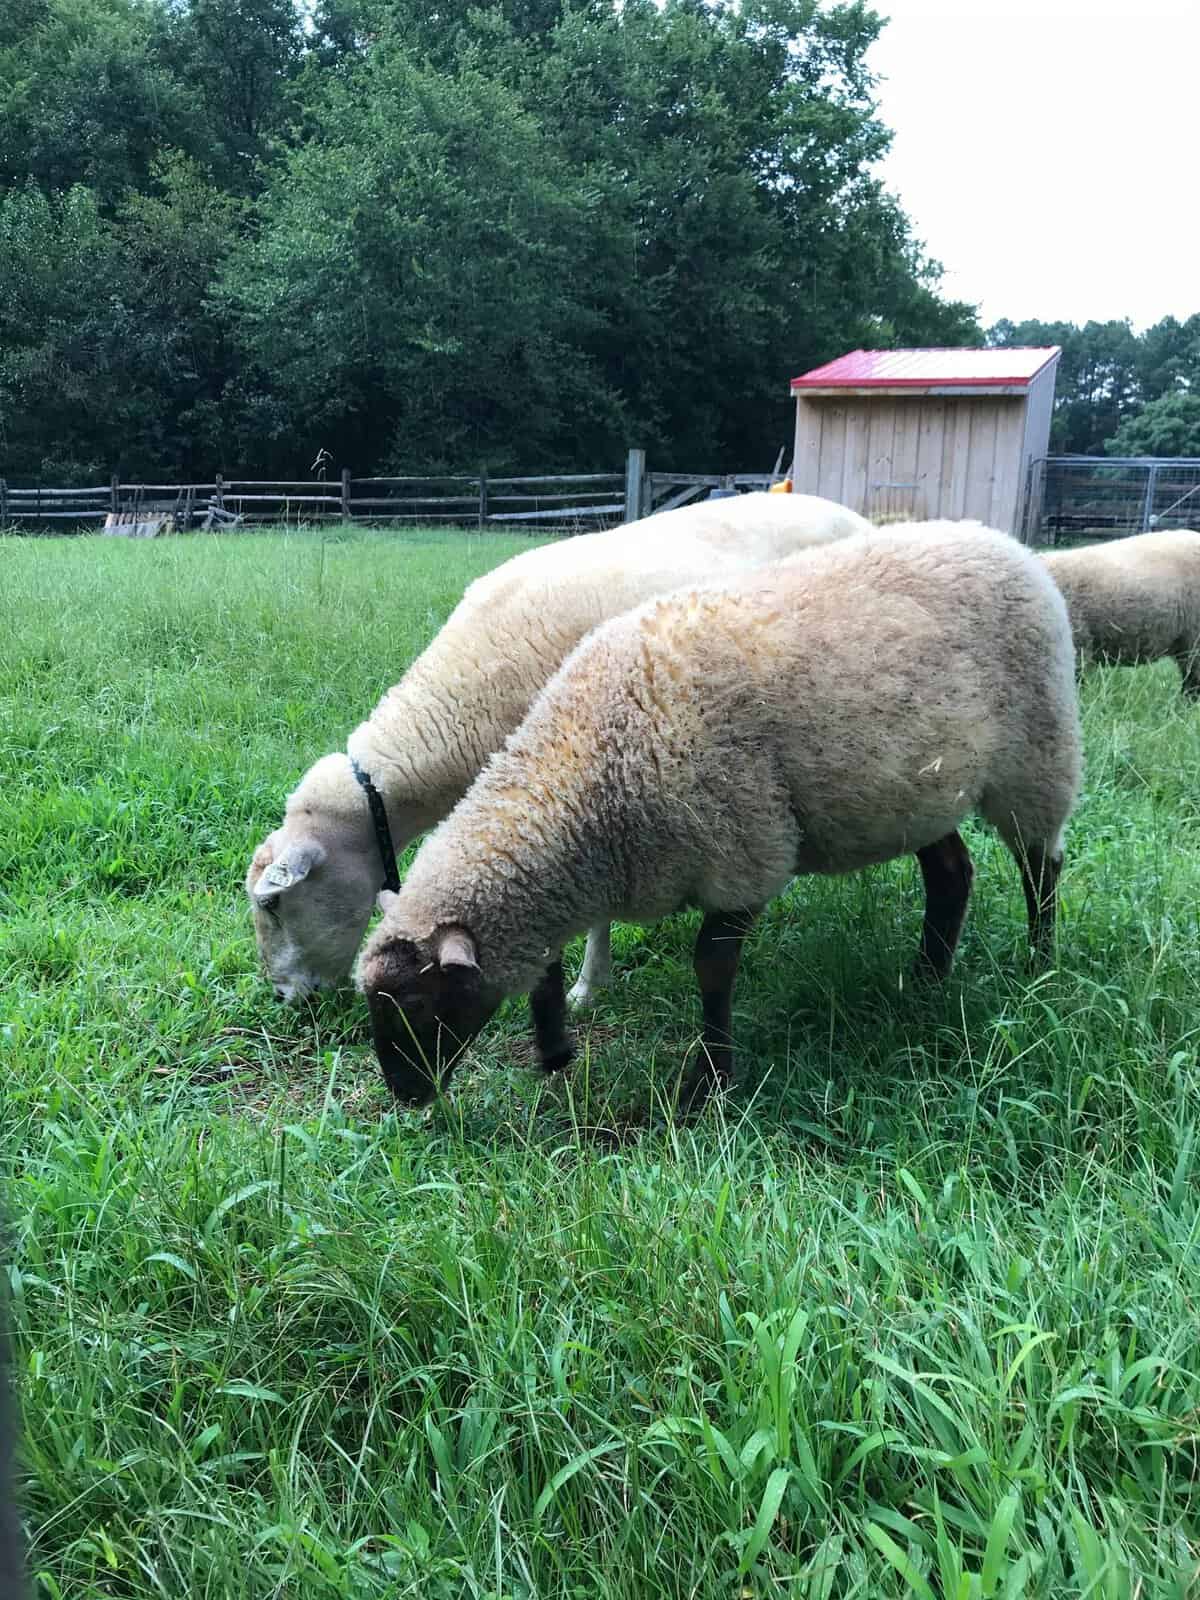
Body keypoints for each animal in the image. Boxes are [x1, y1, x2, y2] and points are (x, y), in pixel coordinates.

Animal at [361, 518, 1088, 1107]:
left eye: (420, 1002)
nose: (405, 1094)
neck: (588, 763)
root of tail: (1004, 542)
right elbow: (548, 967)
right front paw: (556, 1052)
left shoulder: (744, 849)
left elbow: (711, 967)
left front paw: (708, 1081)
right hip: (918, 791)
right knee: (951, 872)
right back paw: (928, 977)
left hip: (1036, 754)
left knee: (1040, 864)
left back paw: (1038, 963)